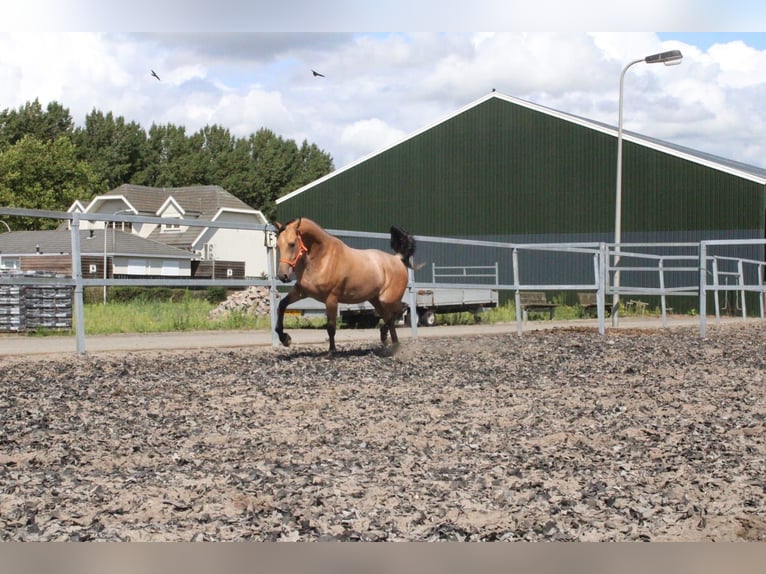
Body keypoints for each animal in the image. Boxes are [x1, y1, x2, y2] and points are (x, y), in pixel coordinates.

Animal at [274, 218, 420, 354]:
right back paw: (393, 344)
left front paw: (331, 351)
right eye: (278, 245)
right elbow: (281, 305)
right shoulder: (301, 291)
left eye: (292, 244)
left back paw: (385, 336)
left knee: (400, 310)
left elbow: (331, 327)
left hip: (387, 299)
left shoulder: (331, 298)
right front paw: (285, 339)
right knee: (389, 316)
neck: (322, 258)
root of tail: (397, 259)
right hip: (375, 300)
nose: (282, 276)